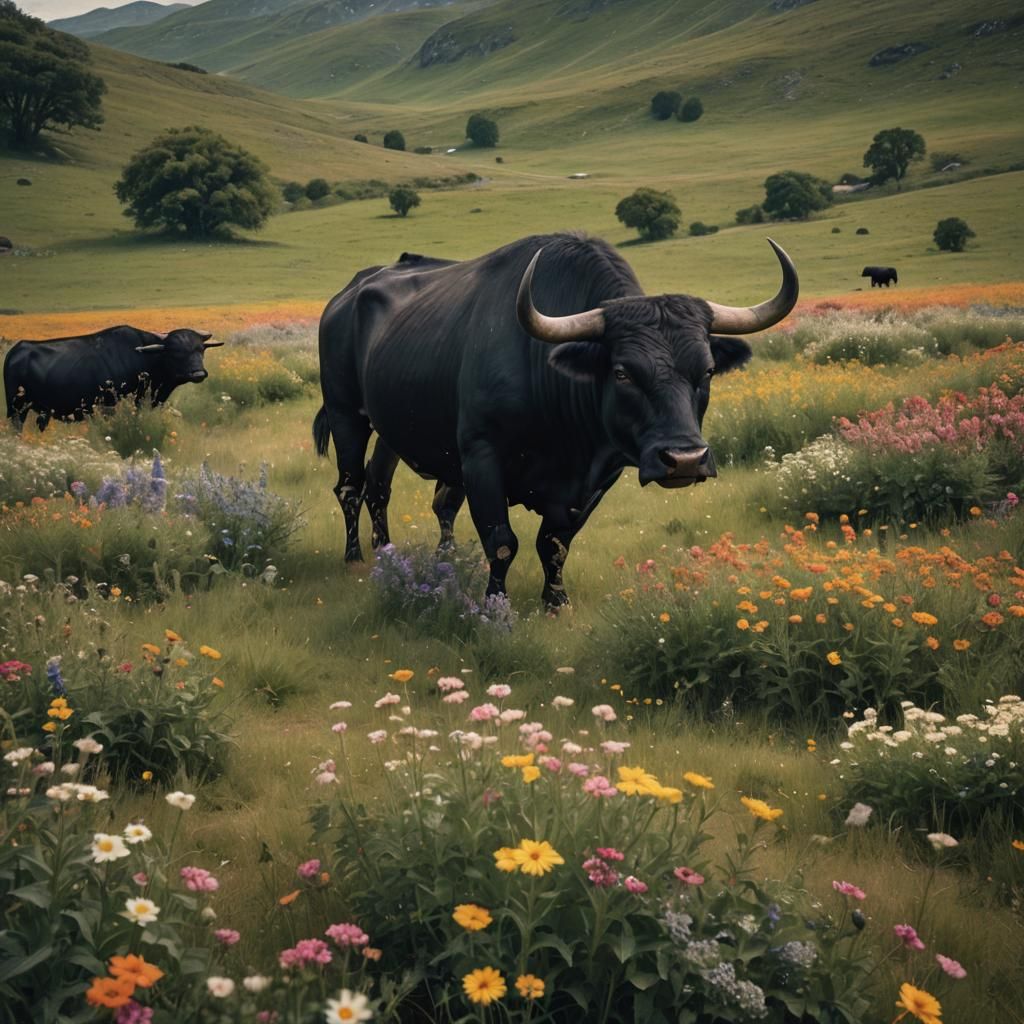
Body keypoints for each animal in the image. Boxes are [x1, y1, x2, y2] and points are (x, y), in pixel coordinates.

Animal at [3, 325, 221, 432]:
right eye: (176, 352)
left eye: (200, 349)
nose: (199, 374)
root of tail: (16, 351)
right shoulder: (109, 407)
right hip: (17, 410)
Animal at [314, 232, 798, 609]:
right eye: (622, 372)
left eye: (707, 371)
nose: (684, 460)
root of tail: (346, 296)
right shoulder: (481, 457)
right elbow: (502, 541)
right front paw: (496, 606)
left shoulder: (597, 476)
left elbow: (556, 542)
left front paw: (556, 601)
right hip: (346, 415)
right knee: (351, 488)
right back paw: (356, 557)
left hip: (392, 431)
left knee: (385, 488)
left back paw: (396, 553)